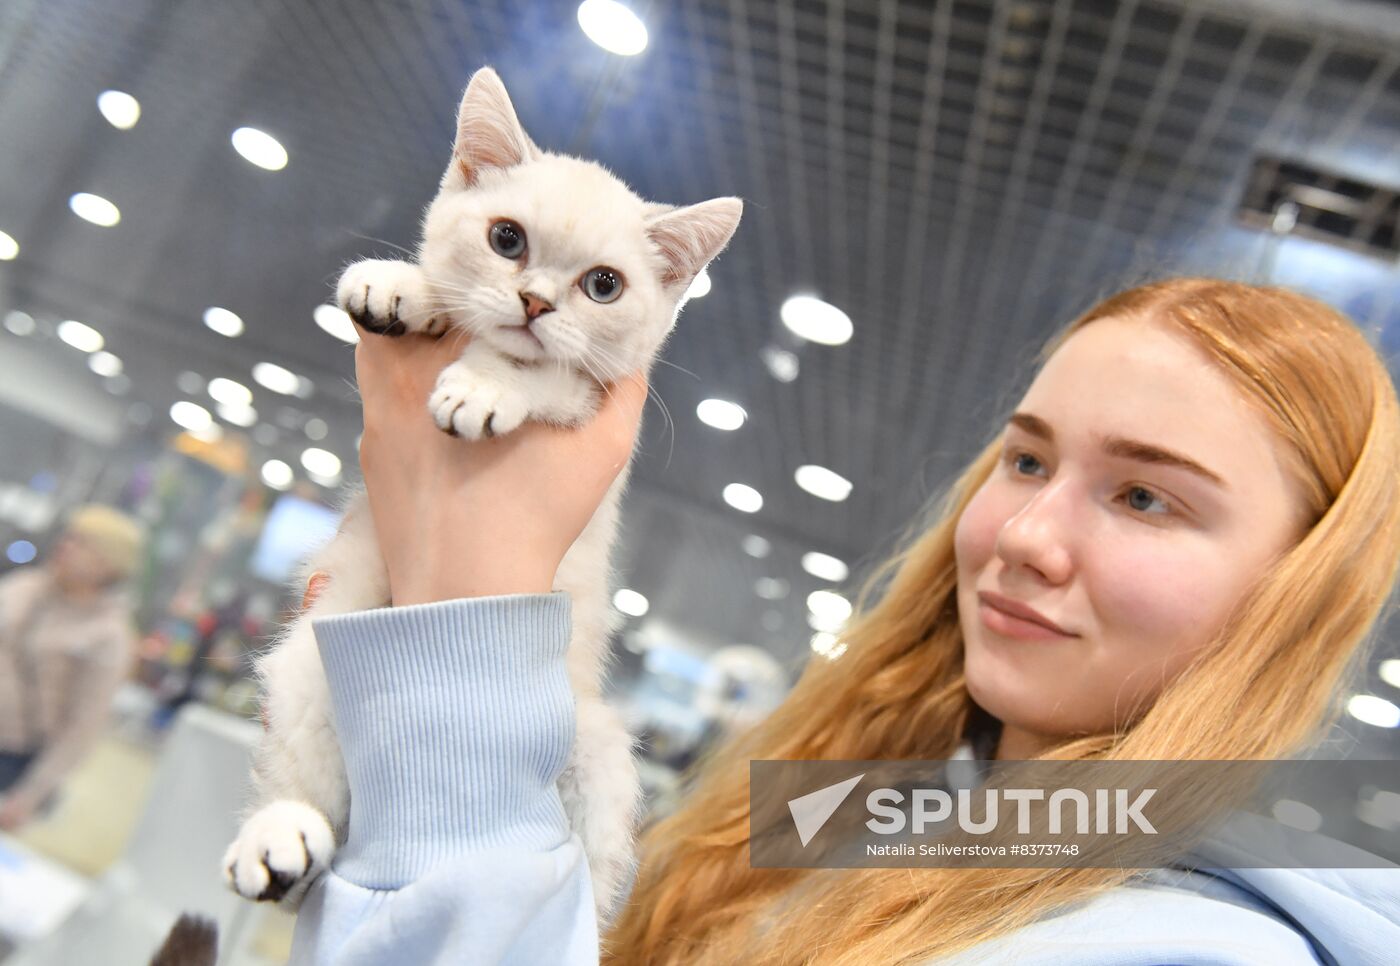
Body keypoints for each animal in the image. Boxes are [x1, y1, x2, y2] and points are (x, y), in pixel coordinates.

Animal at [221, 67, 744, 918]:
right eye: (506, 239)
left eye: (604, 285)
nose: (535, 303)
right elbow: (442, 293)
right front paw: (400, 287)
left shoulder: (591, 397)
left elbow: (542, 370)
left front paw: (482, 388)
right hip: (308, 666)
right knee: (317, 827)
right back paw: (280, 840)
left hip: (599, 754)